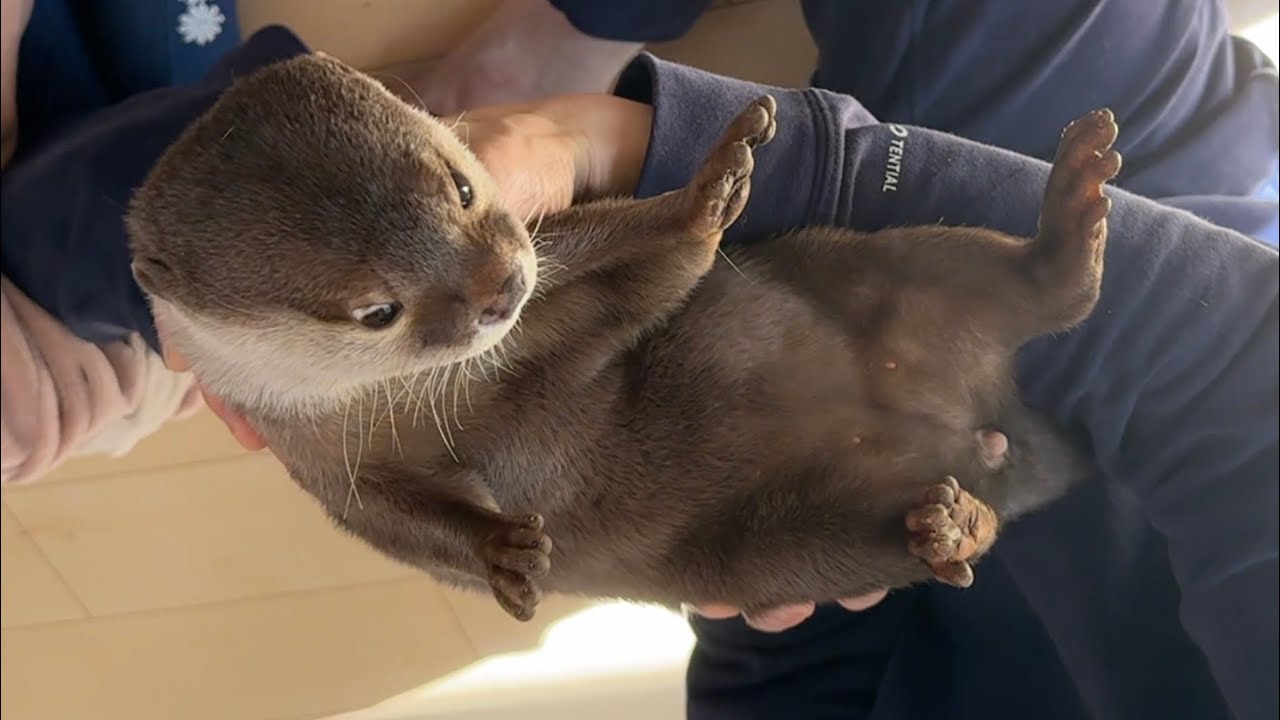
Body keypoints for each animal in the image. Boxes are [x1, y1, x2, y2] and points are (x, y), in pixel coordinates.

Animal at [127, 54, 1115, 621]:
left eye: (460, 188)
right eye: (376, 311)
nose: (501, 291)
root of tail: (990, 429)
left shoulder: (555, 248)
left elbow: (657, 276)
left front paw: (712, 188)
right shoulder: (330, 476)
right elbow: (407, 528)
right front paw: (502, 556)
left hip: (888, 268)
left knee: (1047, 292)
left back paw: (1078, 196)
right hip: (782, 551)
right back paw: (950, 529)